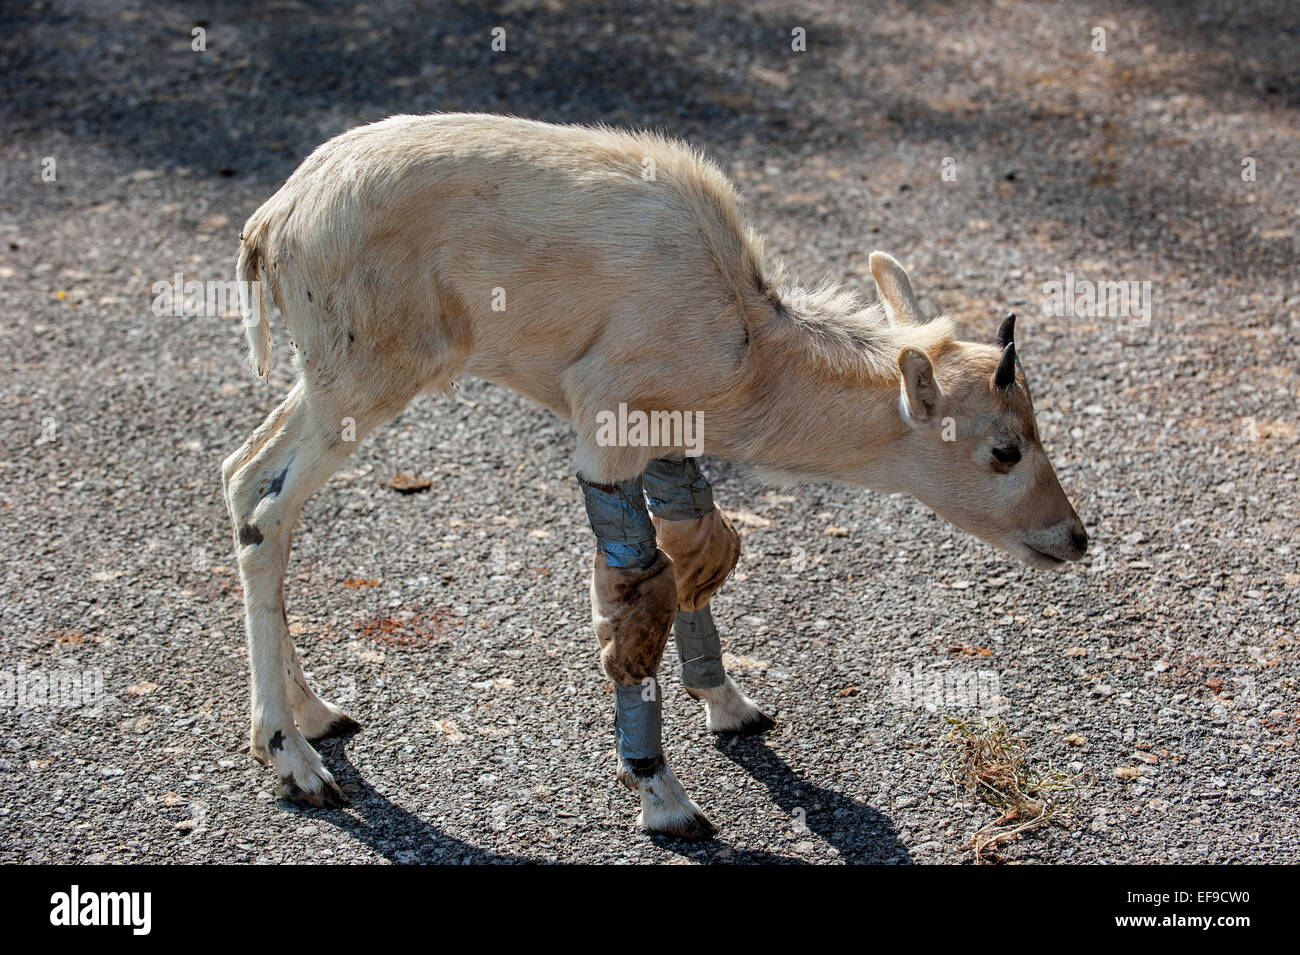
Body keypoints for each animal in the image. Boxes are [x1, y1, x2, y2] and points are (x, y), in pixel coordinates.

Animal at [222, 113, 1087, 839]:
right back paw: (295, 759)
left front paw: (732, 707)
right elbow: (640, 588)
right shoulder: (606, 435)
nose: (1074, 537)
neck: (748, 339)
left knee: (244, 475)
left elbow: (700, 550)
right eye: (1004, 448)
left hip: (329, 385)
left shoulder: (671, 442)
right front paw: (668, 801)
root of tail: (274, 220)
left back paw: (318, 714)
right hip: (366, 380)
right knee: (270, 511)